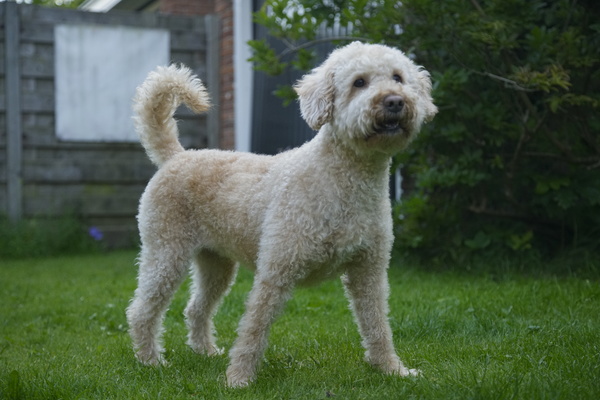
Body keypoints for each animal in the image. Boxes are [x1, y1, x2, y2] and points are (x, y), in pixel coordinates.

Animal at [126, 41, 436, 388]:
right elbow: (254, 328)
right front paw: (238, 380)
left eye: (398, 77)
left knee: (196, 308)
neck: (341, 180)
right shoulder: (276, 270)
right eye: (359, 82)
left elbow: (377, 324)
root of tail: (176, 156)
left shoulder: (369, 271)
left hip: (216, 264)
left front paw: (392, 369)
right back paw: (151, 360)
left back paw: (205, 351)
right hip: (166, 253)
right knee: (142, 310)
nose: (395, 101)